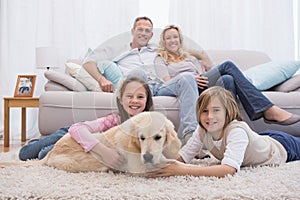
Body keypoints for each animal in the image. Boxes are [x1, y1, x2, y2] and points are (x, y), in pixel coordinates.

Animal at [0, 111, 182, 174]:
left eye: (158, 137)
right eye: (141, 138)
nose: (148, 157)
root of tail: (51, 153)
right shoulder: (139, 167)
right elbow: (171, 163)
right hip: (76, 162)